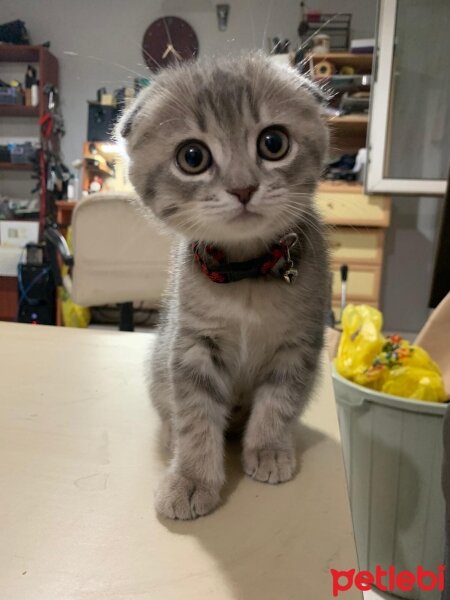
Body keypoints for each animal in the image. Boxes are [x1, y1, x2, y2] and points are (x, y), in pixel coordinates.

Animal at [119, 54, 330, 516]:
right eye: (192, 156)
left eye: (273, 143)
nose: (243, 187)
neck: (246, 273)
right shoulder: (193, 344)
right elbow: (196, 414)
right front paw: (192, 478)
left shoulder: (298, 345)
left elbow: (278, 402)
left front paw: (268, 449)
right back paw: (171, 434)